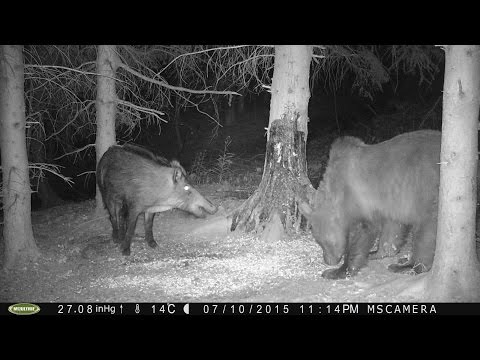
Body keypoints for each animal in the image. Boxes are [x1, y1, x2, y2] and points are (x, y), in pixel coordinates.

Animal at [300, 129, 442, 278]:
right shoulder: (390, 200)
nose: (328, 260)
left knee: (426, 230)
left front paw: (339, 270)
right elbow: (392, 228)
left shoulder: (360, 197)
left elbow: (364, 231)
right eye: (318, 241)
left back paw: (408, 266)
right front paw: (378, 252)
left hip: (428, 191)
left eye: (322, 241)